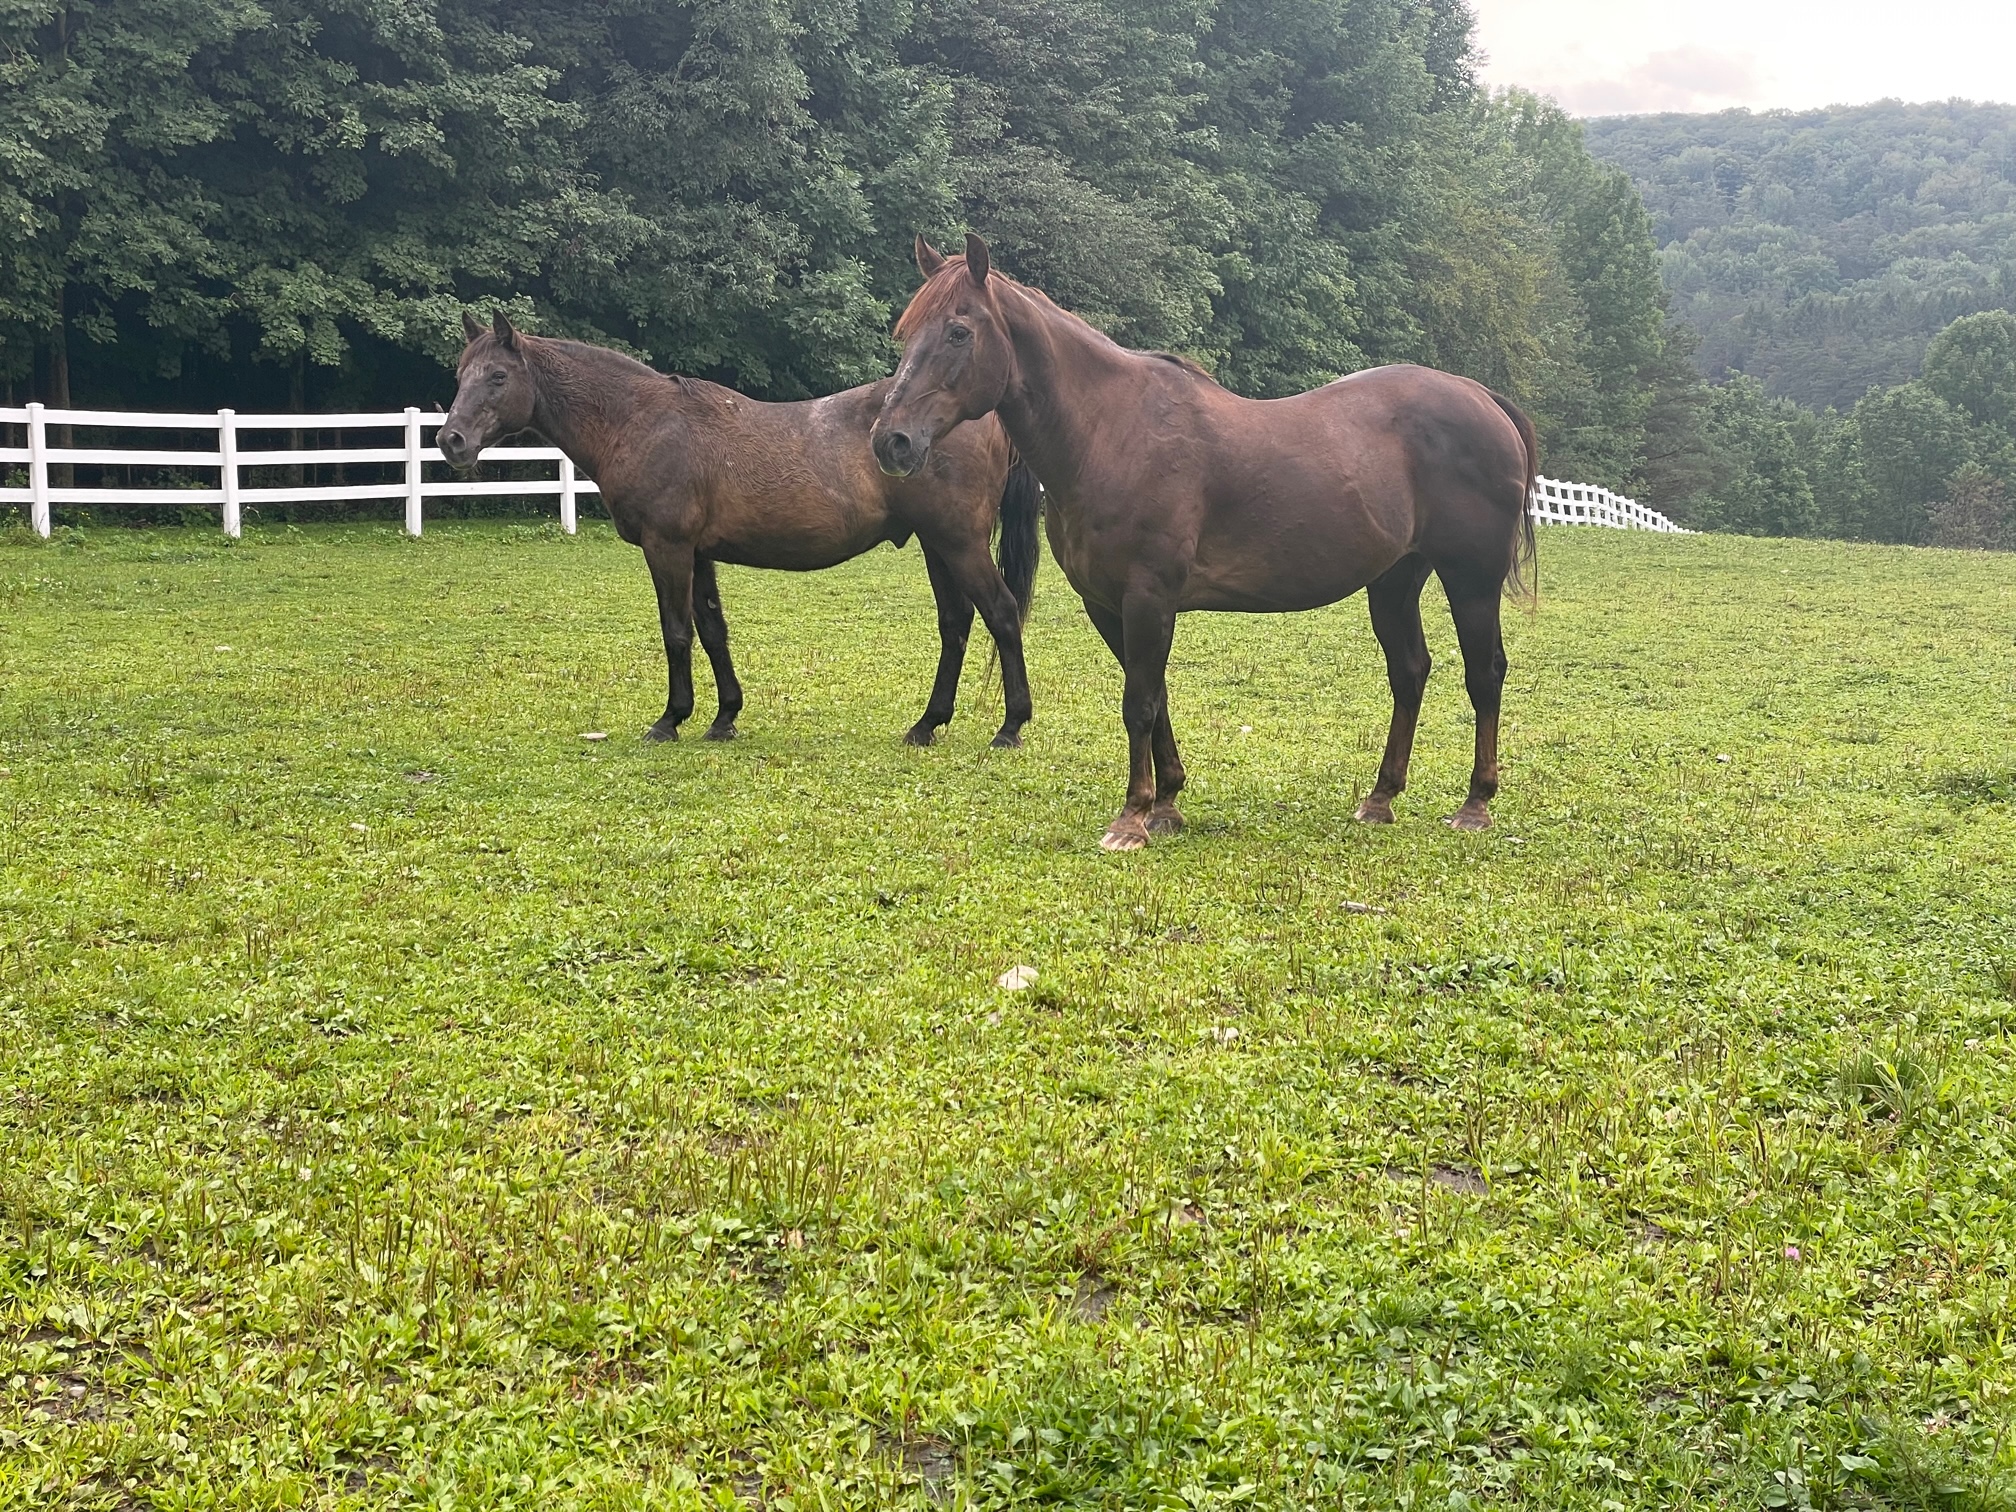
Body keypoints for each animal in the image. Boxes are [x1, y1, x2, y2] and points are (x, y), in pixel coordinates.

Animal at [438, 312, 1040, 748]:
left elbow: (676, 632)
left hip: (959, 544)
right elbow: (712, 631)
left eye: (498, 376)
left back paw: (1010, 726)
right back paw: (926, 725)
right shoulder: (697, 553)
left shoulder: (667, 548)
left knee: (1001, 613)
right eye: (460, 375)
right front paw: (723, 717)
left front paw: (669, 720)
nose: (451, 441)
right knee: (955, 624)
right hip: (938, 546)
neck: (641, 421)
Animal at [870, 236, 1537, 851]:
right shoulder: (1108, 605)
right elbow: (1155, 696)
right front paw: (1167, 803)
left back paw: (1475, 805)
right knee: (1410, 671)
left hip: (1470, 581)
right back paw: (1380, 798)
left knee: (1484, 674)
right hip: (1395, 580)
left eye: (959, 332)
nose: (890, 441)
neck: (1110, 433)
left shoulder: (1148, 598)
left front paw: (1132, 817)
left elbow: (1138, 703)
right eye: (908, 332)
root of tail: (1483, 398)